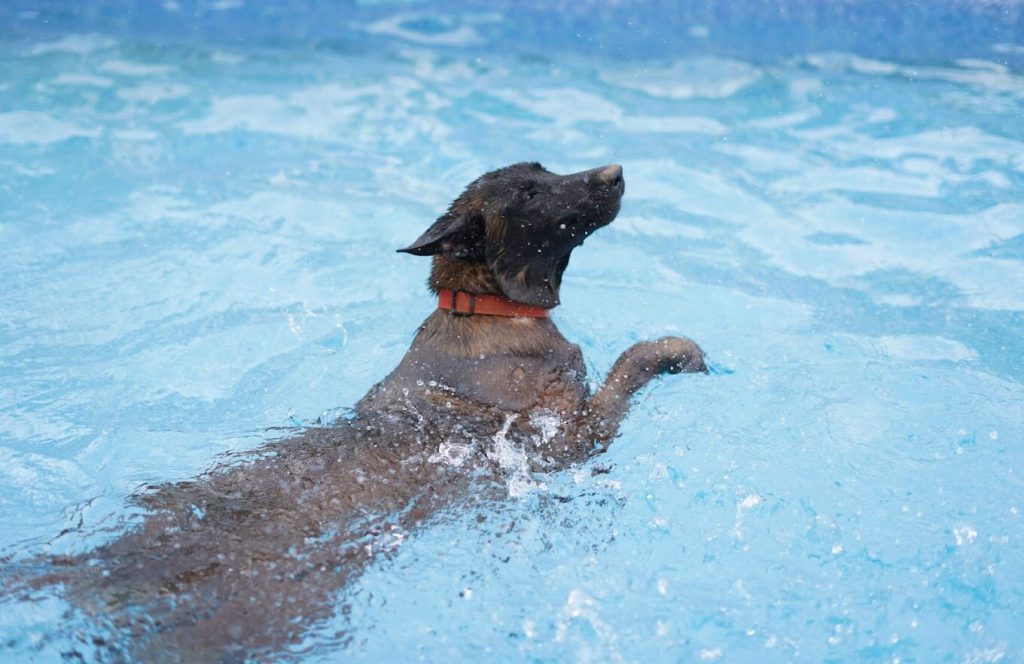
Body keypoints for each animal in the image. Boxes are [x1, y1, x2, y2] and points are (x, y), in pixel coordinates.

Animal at [2, 161, 704, 664]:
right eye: (530, 193)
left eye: (544, 169)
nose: (614, 171)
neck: (486, 310)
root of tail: (105, 563)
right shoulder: (562, 437)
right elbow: (626, 373)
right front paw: (674, 352)